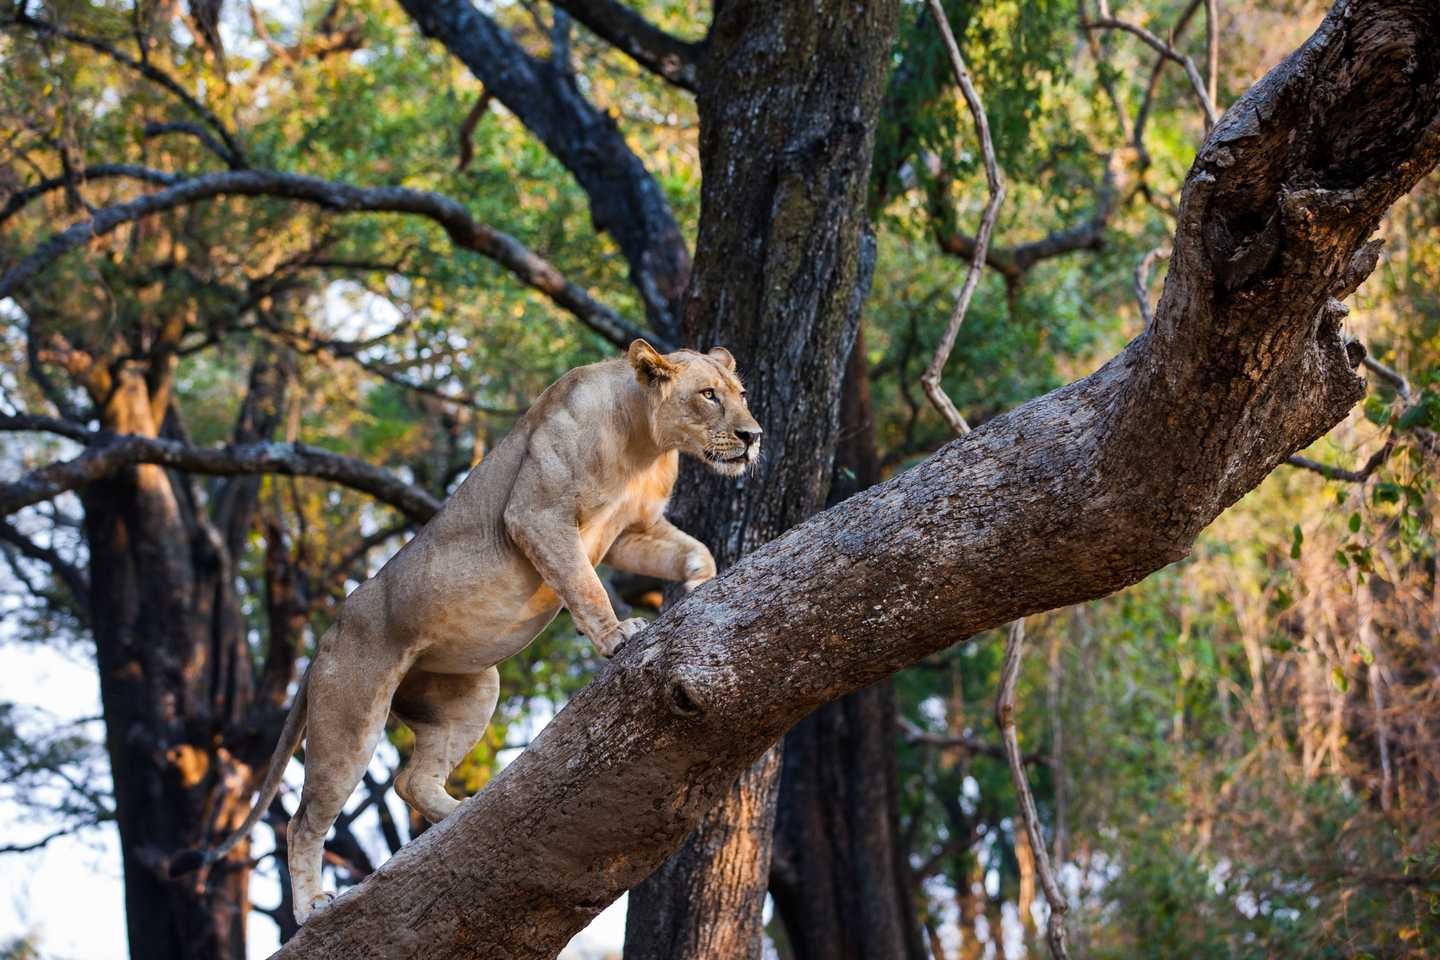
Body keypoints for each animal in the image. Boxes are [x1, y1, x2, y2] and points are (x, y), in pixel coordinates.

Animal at [172, 340, 761, 923]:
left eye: (741, 395)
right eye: (709, 395)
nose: (753, 437)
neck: (645, 440)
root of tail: (326, 637)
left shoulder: (631, 534)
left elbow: (693, 550)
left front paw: (702, 586)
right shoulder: (536, 515)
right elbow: (584, 586)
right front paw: (618, 635)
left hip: (473, 691)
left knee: (410, 781)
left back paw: (461, 815)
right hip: (351, 718)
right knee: (304, 820)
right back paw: (313, 903)